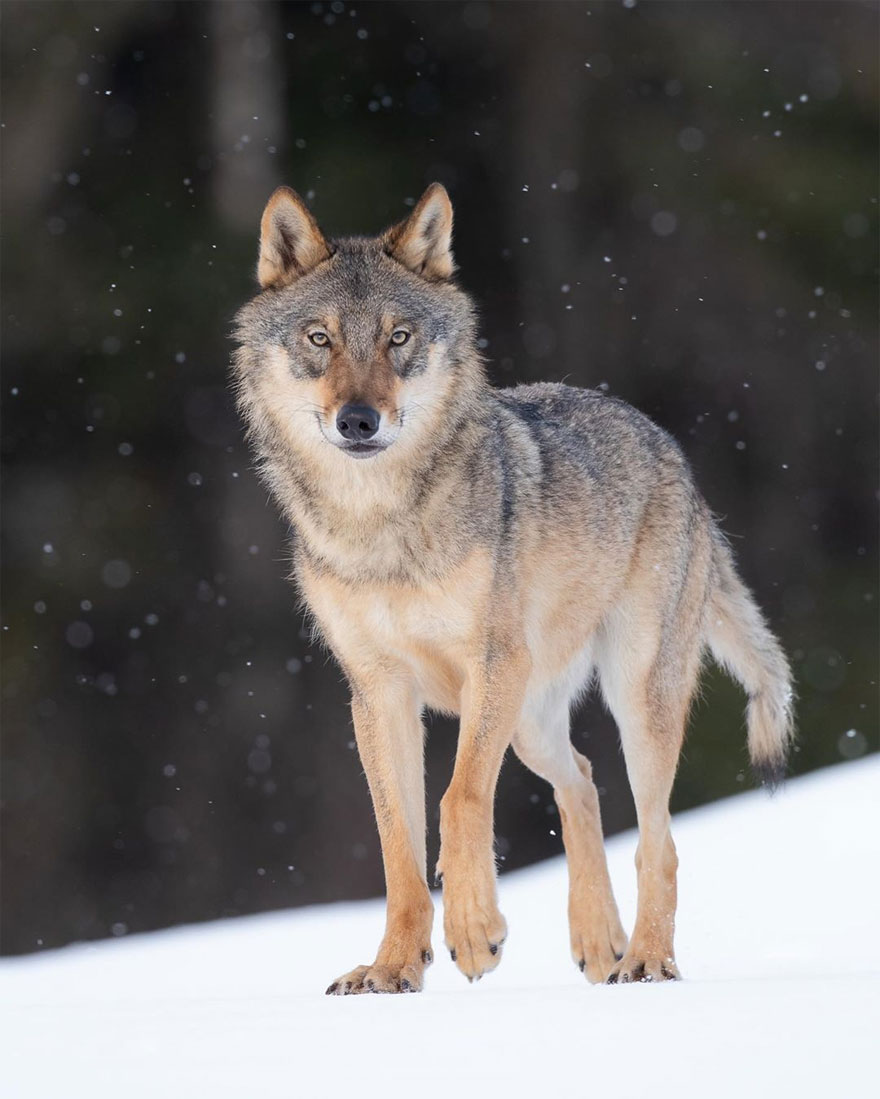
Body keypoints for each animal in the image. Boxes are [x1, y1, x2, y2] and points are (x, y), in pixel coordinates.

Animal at [229, 182, 791, 997]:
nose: (358, 420)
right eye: (320, 338)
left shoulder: (490, 666)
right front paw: (392, 967)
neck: (381, 528)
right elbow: (397, 842)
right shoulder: (377, 691)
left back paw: (646, 959)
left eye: (399, 338)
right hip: (531, 723)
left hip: (629, 696)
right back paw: (599, 944)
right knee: (582, 781)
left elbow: (460, 797)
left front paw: (473, 931)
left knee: (658, 840)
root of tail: (672, 453)